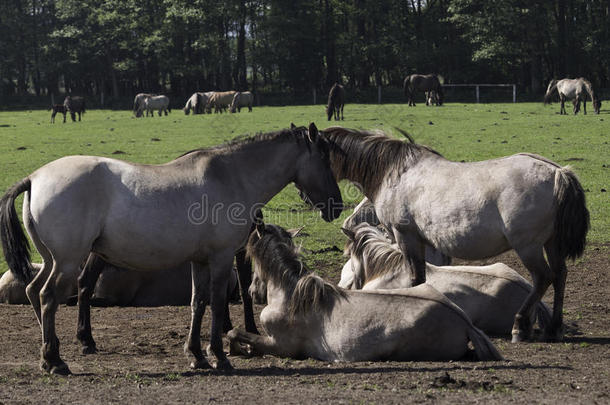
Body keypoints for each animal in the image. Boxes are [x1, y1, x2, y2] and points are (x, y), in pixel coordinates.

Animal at [0, 122, 342, 372]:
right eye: (324, 160)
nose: (336, 205)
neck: (231, 176)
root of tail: (34, 177)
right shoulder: (221, 259)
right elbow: (218, 303)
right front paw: (219, 356)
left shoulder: (200, 261)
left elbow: (198, 303)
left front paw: (197, 355)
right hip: (68, 262)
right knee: (47, 297)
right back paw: (56, 360)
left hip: (52, 260)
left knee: (34, 291)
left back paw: (51, 353)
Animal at [226, 223, 502, 362]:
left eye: (251, 259)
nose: (252, 291)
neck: (292, 295)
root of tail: (464, 323)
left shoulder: (281, 346)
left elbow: (235, 332)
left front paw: (237, 349)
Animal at [324, 125, 588, 340]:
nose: (335, 210)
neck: (396, 173)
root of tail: (557, 172)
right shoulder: (422, 242)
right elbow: (421, 275)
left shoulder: (405, 236)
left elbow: (414, 276)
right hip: (551, 244)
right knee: (560, 275)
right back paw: (553, 329)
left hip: (528, 247)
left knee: (543, 278)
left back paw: (520, 326)